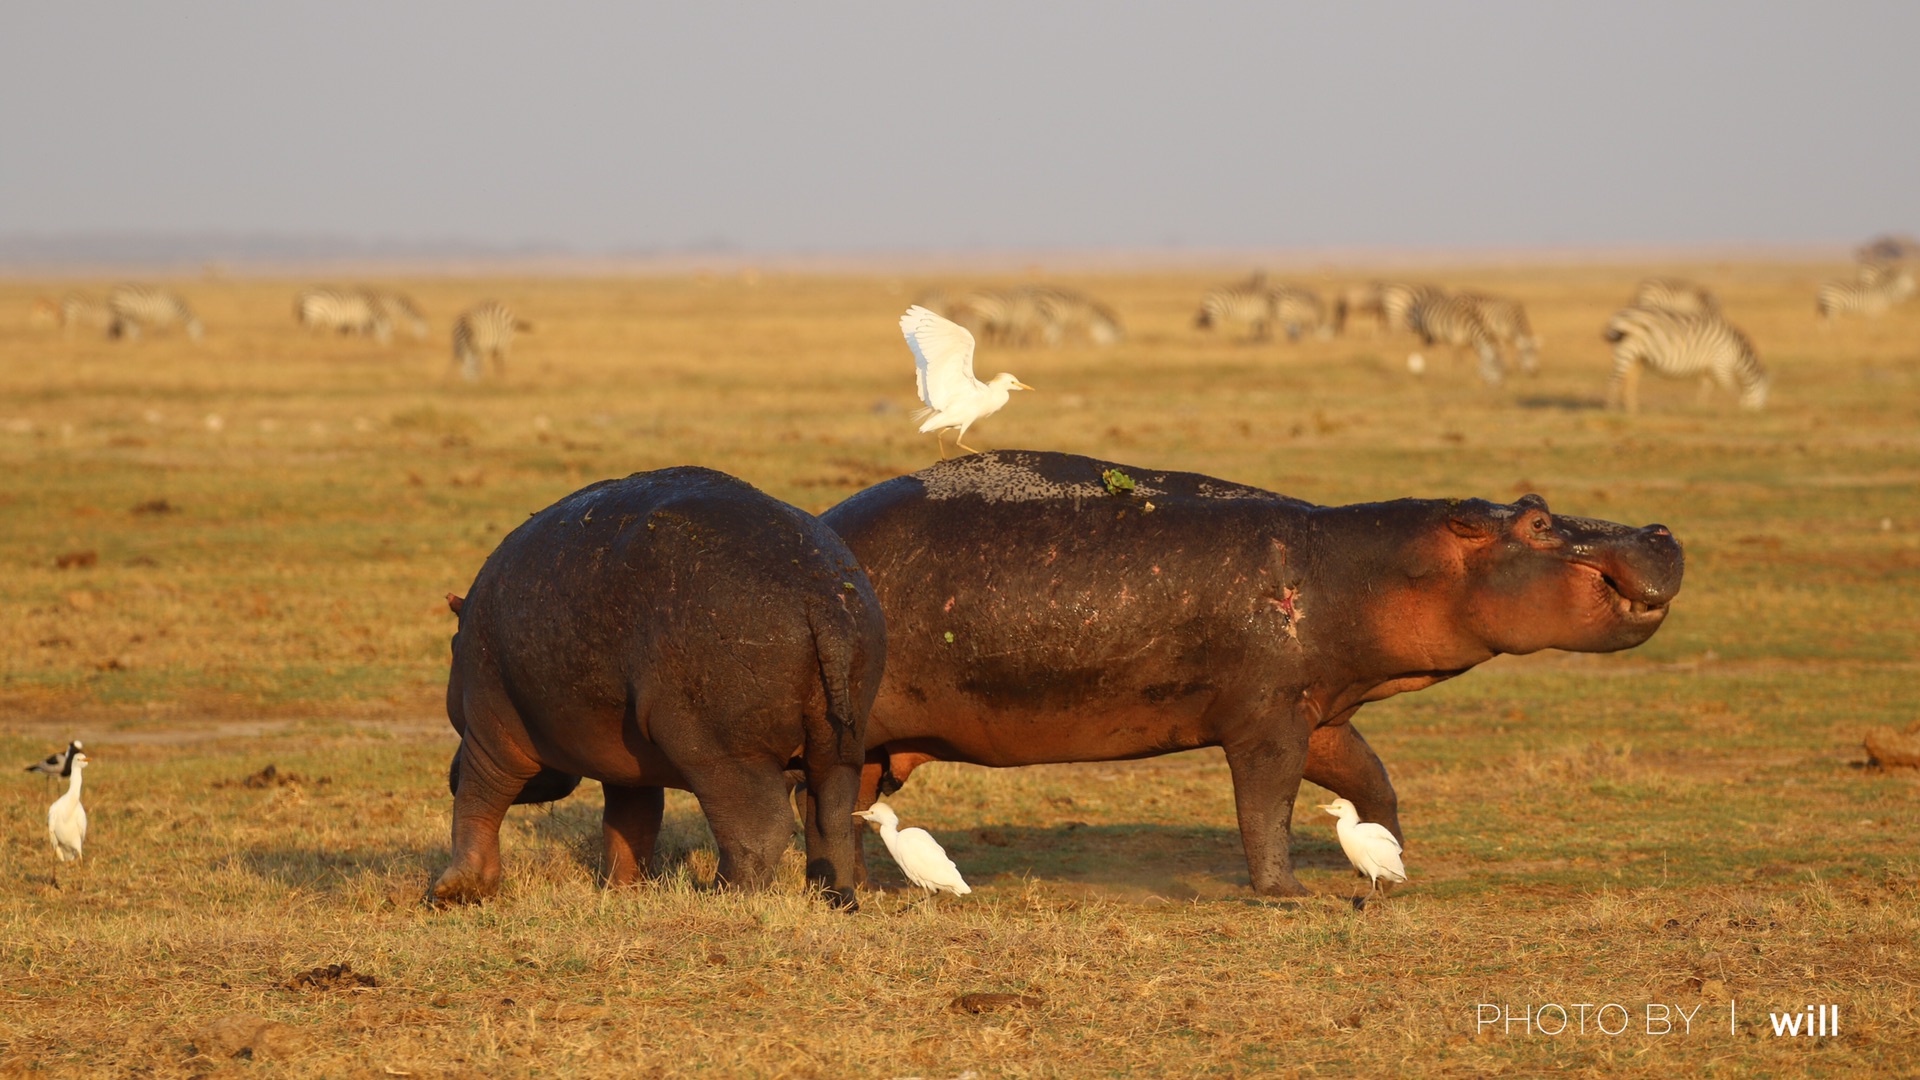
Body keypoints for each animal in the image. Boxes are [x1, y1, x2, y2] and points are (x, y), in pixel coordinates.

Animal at [433, 466, 883, 903]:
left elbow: (477, 800)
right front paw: (622, 892)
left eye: (452, 647)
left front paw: (454, 890)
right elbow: (631, 822)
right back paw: (834, 898)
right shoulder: (627, 765)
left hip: (718, 749)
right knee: (831, 816)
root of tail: (822, 599)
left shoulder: (491, 733)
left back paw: (723, 897)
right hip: (840, 742)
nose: (447, 771)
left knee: (761, 823)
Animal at [821, 445, 1681, 891]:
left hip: (874, 745)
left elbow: (1373, 782)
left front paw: (1389, 858)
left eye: (1535, 500)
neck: (1363, 569)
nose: (1660, 529)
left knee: (852, 805)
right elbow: (1267, 806)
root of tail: (821, 523)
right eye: (1535, 523)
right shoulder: (1268, 720)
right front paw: (1286, 895)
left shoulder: (1324, 709)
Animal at [1605, 307, 1766, 417]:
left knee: (1629, 382)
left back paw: (1633, 410)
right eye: (1762, 397)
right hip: (1626, 351)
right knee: (1614, 381)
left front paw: (1701, 409)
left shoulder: (1708, 368)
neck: (1738, 352)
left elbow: (1705, 388)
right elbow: (1733, 388)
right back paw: (1612, 410)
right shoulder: (1721, 363)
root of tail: (1618, 316)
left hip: (1637, 357)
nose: (1757, 415)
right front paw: (1740, 407)